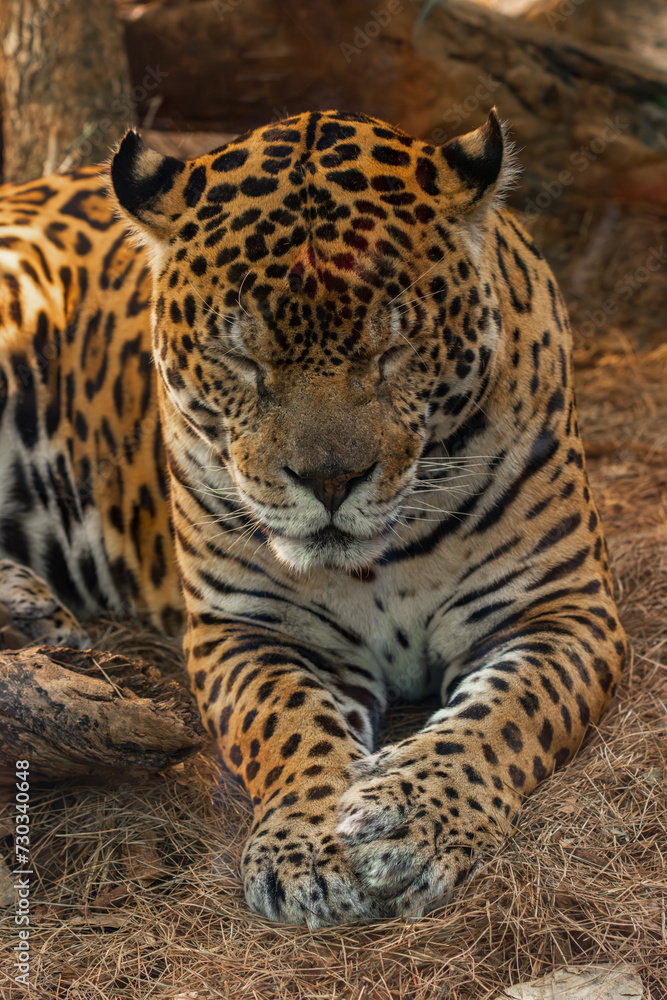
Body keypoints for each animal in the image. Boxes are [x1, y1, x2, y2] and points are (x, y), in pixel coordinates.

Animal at [0, 108, 626, 926]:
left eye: (394, 350)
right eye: (241, 361)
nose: (330, 480)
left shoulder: (561, 609)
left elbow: (504, 715)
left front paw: (409, 821)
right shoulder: (250, 629)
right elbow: (287, 723)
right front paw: (309, 847)